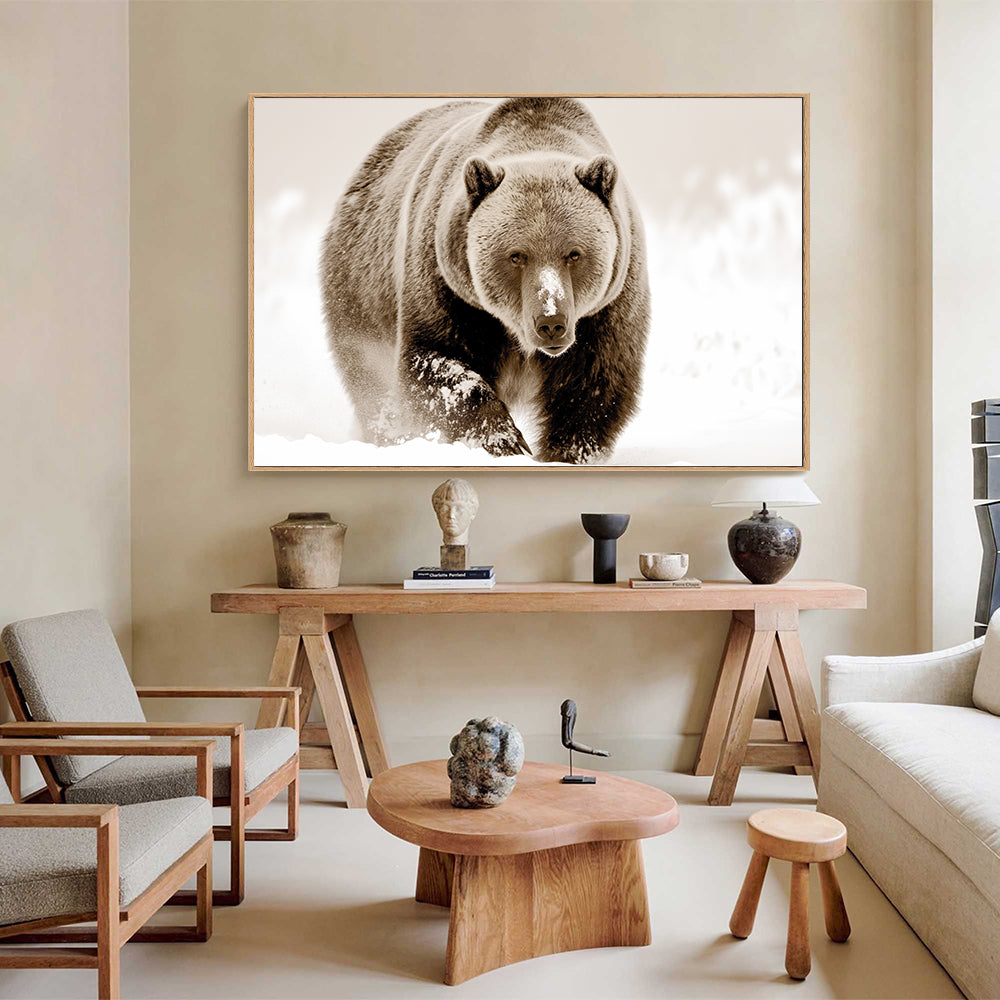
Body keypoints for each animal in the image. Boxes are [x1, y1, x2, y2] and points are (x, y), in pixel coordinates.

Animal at [320, 97, 650, 464]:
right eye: (517, 255)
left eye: (574, 254)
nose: (551, 322)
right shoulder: (449, 288)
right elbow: (439, 361)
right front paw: (506, 440)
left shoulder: (606, 308)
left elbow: (592, 384)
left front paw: (566, 452)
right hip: (361, 292)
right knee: (371, 382)